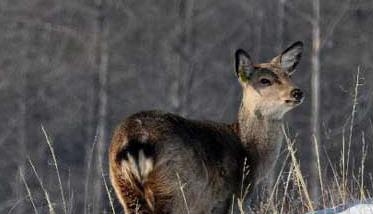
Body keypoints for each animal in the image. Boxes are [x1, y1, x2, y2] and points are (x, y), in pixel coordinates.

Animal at [107, 41, 302, 213]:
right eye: (264, 80)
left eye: (289, 76)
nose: (297, 92)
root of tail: (135, 141)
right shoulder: (228, 200)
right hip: (176, 190)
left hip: (125, 189)